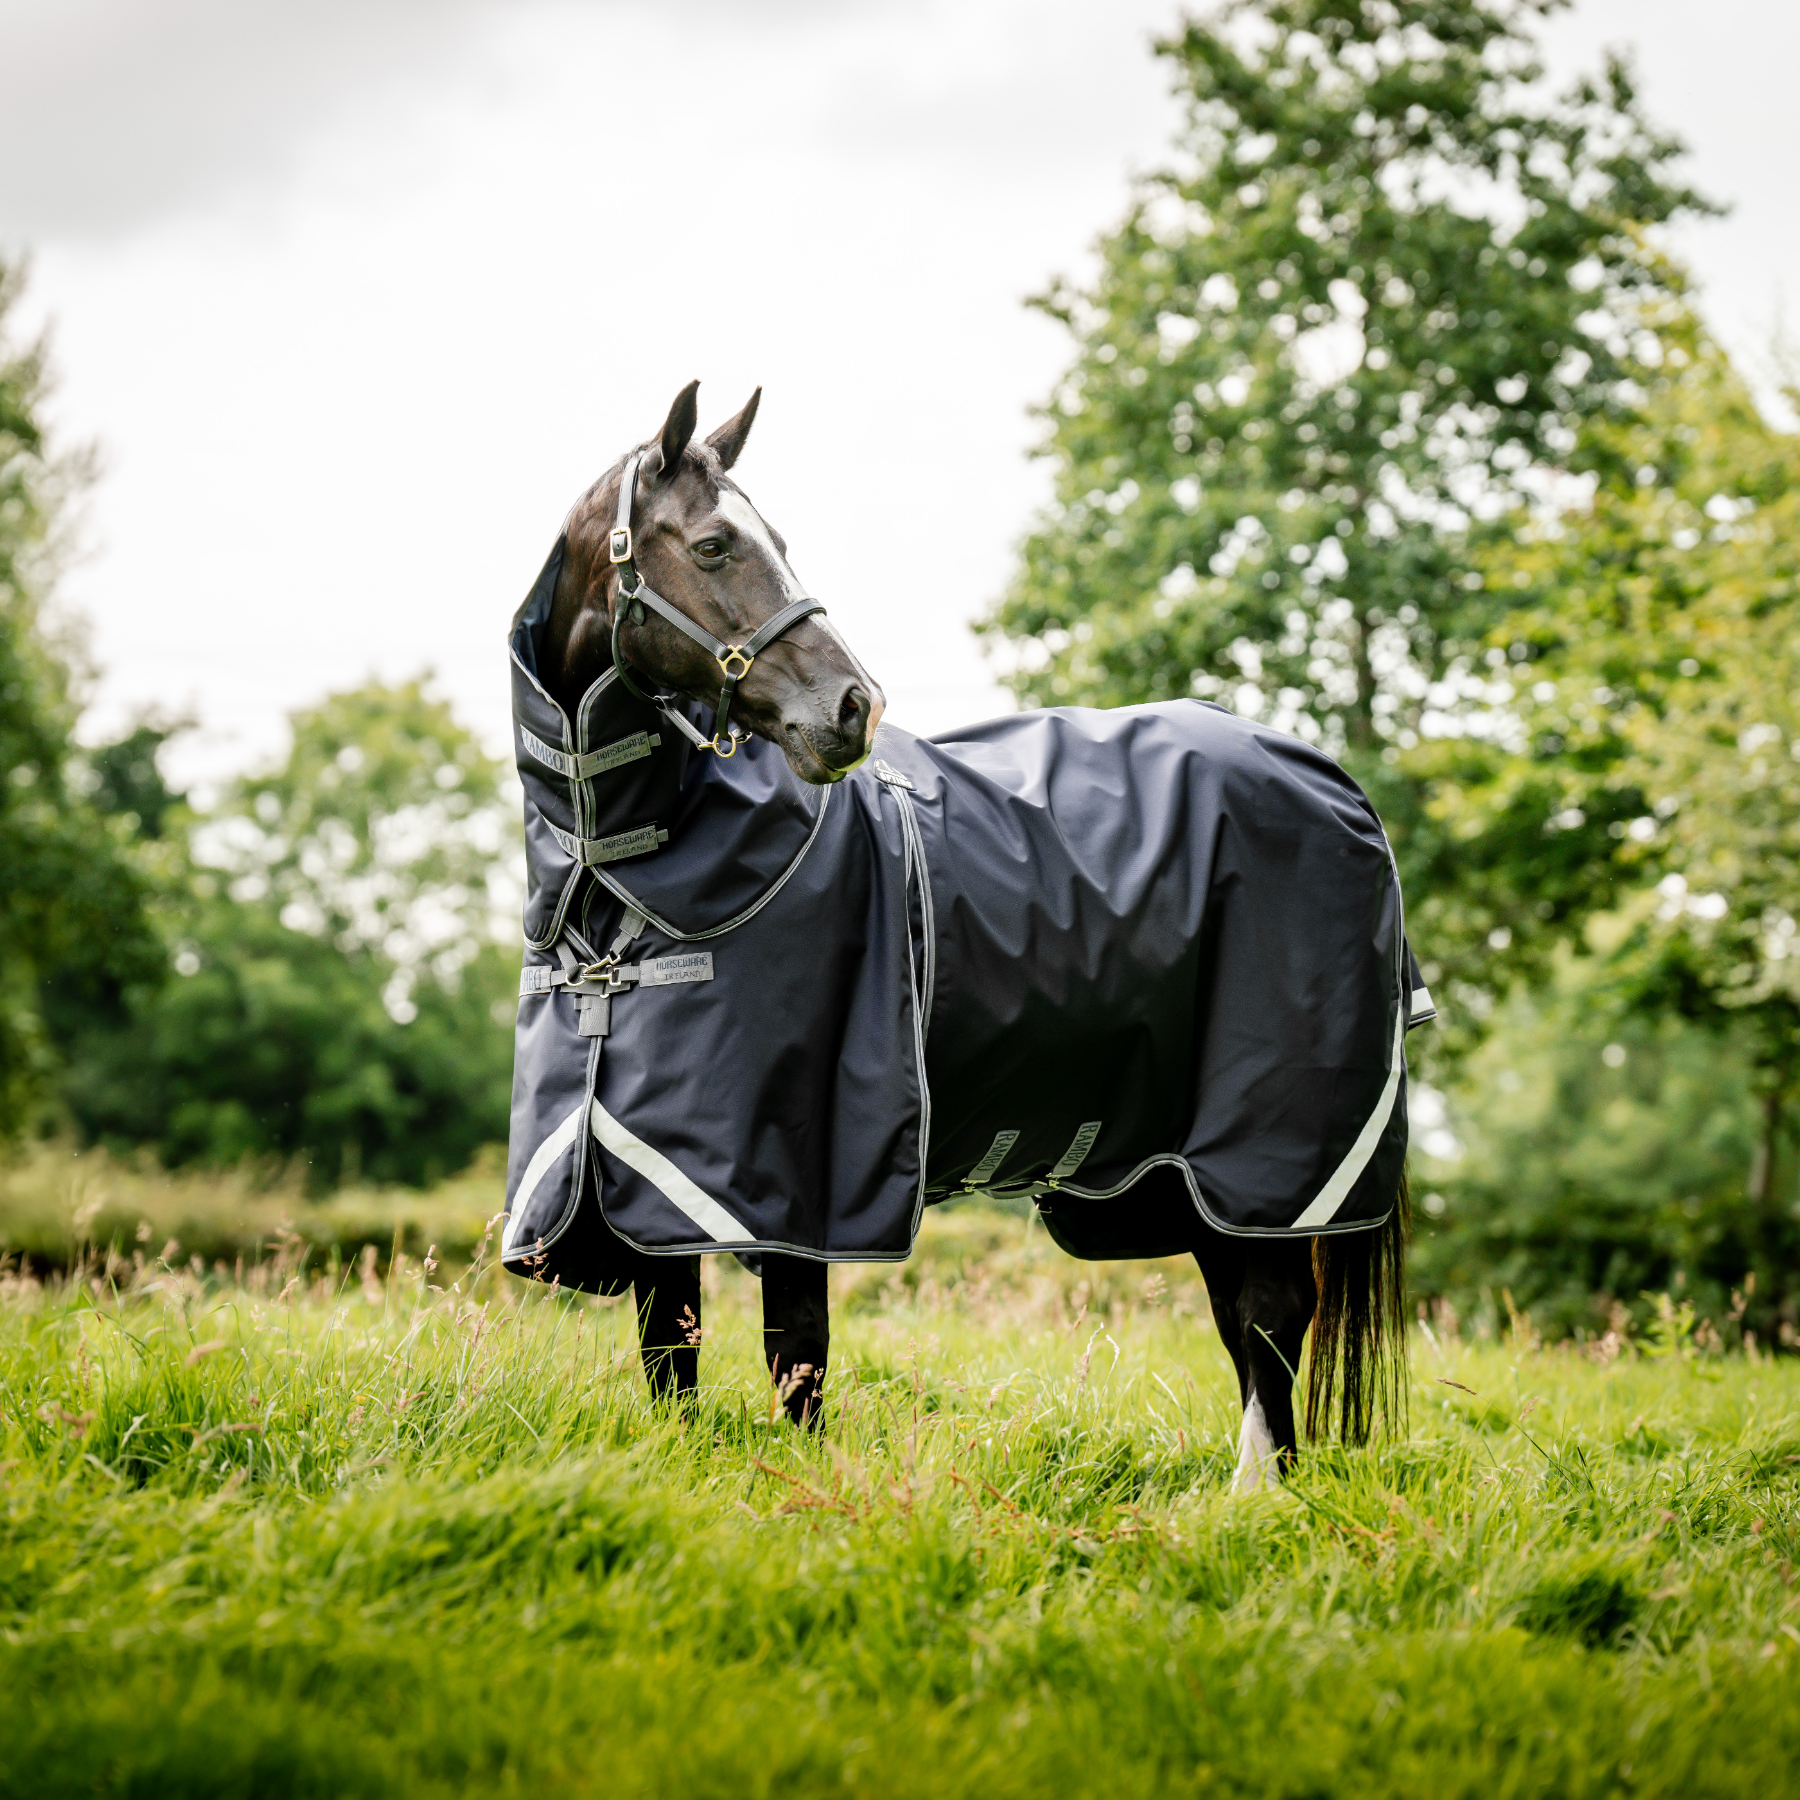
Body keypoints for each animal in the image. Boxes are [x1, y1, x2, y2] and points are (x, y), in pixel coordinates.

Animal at [503, 380, 1423, 1490]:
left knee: (1273, 1318)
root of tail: (1331, 779)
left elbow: (796, 1363)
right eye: (717, 545)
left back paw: (1254, 1501)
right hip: (1196, 1180)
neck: (623, 873)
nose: (851, 707)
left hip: (1270, 1153)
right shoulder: (647, 1186)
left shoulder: (802, 1184)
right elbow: (669, 1355)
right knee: (1246, 1318)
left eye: (777, 539)